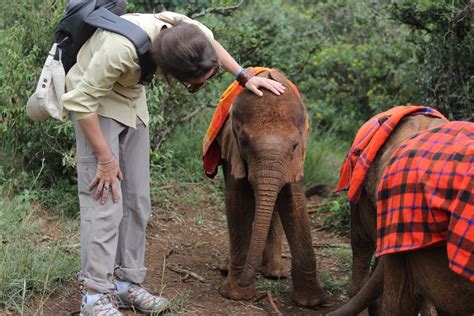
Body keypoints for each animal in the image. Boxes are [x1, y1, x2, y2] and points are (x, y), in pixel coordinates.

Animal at [215, 68, 326, 306]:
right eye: (244, 143)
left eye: (294, 146)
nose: (244, 281)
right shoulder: (233, 148)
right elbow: (237, 200)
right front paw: (235, 294)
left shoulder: (296, 161)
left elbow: (294, 202)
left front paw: (311, 302)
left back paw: (275, 273)